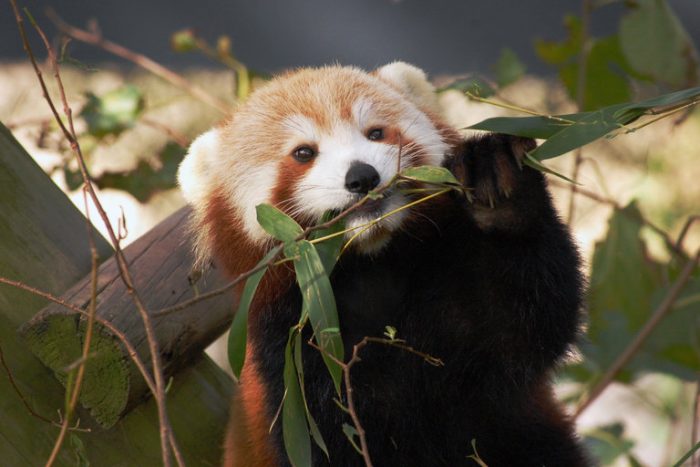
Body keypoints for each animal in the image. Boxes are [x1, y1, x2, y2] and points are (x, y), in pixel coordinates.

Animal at [176, 63, 592, 467]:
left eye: (375, 133)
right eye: (303, 153)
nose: (362, 176)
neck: (370, 267)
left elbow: (523, 321)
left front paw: (495, 180)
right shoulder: (293, 364)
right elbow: (331, 444)